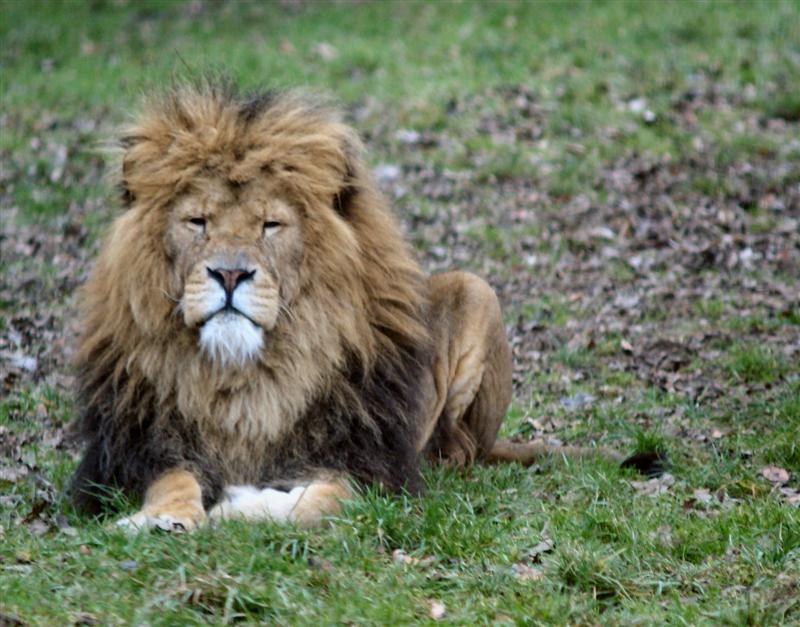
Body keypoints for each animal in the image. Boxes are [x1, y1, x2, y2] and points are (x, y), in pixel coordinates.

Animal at [69, 80, 654, 531]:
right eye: (197, 222)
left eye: (270, 224)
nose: (230, 273)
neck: (245, 380)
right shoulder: (138, 451)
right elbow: (172, 479)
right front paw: (161, 519)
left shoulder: (374, 467)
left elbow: (319, 504)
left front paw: (241, 506)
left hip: (475, 293)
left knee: (460, 449)